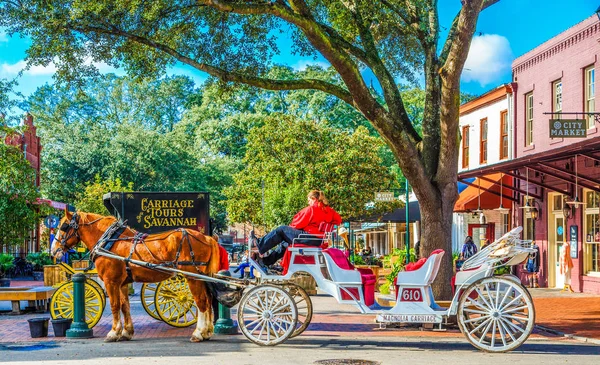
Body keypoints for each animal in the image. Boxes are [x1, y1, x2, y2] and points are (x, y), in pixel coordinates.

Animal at [51, 209, 220, 342]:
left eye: (64, 227)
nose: (53, 251)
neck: (110, 242)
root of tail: (207, 237)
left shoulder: (110, 282)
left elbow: (114, 305)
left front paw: (113, 332)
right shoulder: (122, 283)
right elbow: (125, 306)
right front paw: (126, 332)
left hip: (193, 277)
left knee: (201, 301)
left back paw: (198, 333)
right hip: (202, 276)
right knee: (208, 300)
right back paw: (207, 331)